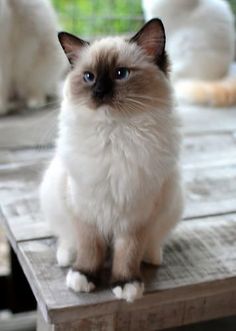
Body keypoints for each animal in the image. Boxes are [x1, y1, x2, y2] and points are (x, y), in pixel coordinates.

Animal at [40, 18, 184, 304]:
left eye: (120, 74)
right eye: (89, 77)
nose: (99, 91)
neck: (115, 135)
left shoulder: (136, 216)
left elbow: (128, 253)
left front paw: (127, 284)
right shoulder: (85, 209)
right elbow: (90, 248)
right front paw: (84, 277)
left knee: (151, 243)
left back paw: (152, 257)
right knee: (67, 237)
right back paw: (67, 258)